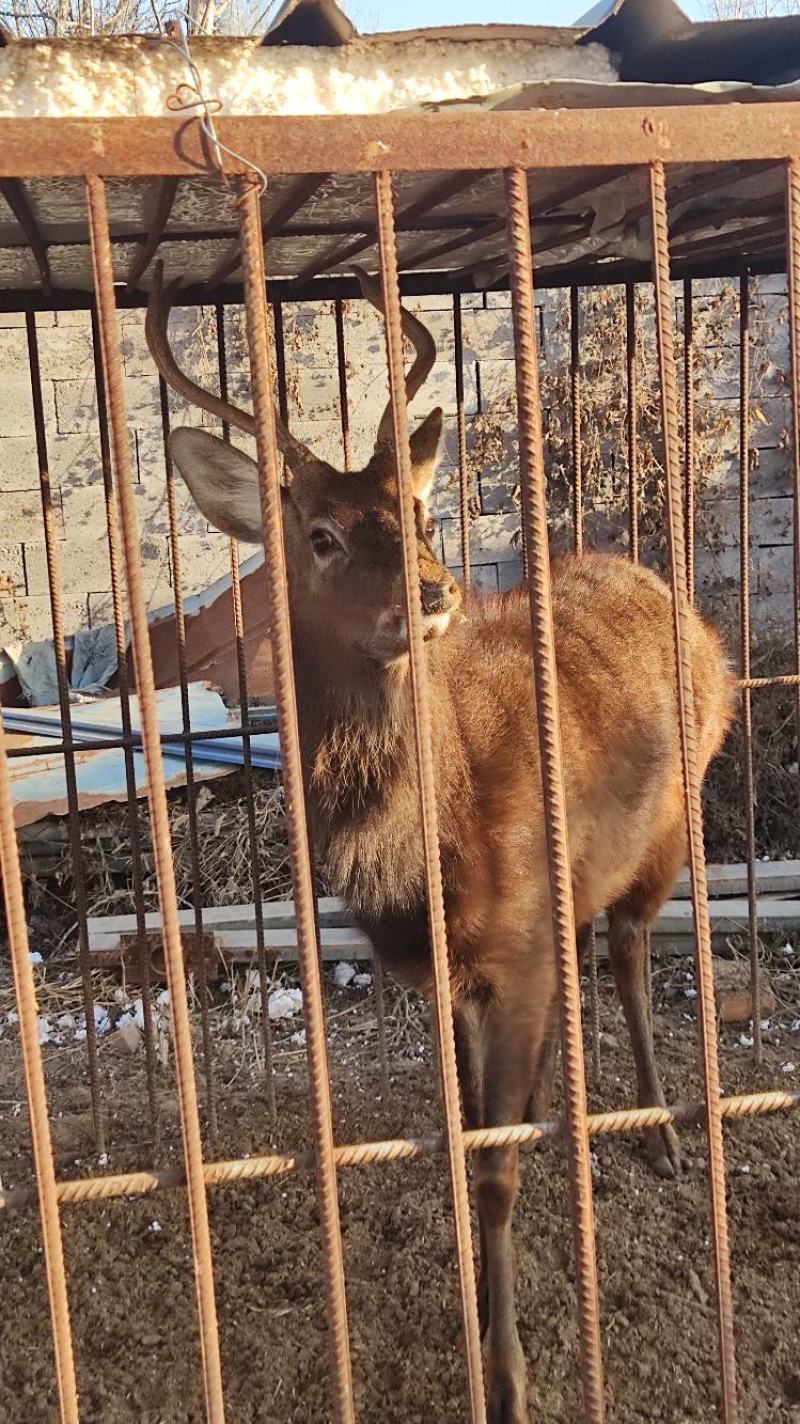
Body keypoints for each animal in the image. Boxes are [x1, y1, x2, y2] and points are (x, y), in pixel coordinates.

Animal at [145, 265, 735, 1424]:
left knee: (630, 956)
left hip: (674, 819)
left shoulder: (515, 942)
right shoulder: (444, 975)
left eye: (416, 511)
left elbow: (493, 1173)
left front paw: (506, 1377)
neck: (429, 857)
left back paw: (662, 1130)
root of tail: (672, 596)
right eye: (319, 534)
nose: (431, 588)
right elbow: (463, 1143)